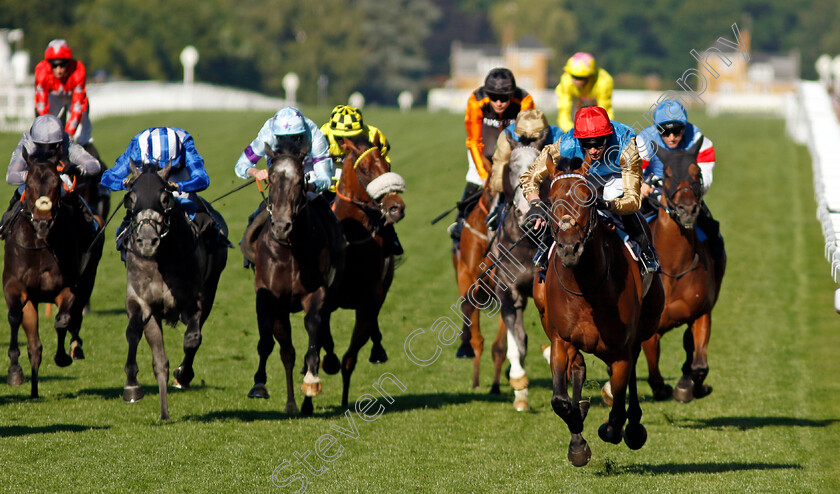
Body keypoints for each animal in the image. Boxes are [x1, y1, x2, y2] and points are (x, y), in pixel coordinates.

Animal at [2, 147, 104, 398]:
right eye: (28, 183)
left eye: (57, 184)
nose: (42, 223)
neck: (40, 245)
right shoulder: (15, 287)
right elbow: (15, 317)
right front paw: (15, 371)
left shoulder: (68, 288)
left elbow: (62, 321)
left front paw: (62, 356)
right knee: (35, 345)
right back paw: (34, 391)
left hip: (89, 277)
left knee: (74, 317)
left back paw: (75, 346)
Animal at [246, 145, 344, 414]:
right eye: (270, 178)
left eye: (300, 180)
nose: (281, 227)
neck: (290, 251)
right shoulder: (273, 300)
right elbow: (281, 349)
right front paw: (270, 391)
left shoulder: (316, 293)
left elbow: (312, 337)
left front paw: (311, 382)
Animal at [326, 134, 406, 406]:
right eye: (364, 170)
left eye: (388, 165)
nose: (396, 207)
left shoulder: (367, 300)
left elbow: (349, 358)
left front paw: (343, 402)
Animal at [536, 156, 668, 466]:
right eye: (551, 200)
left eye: (587, 198)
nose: (569, 249)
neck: (586, 289)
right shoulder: (561, 340)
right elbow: (560, 400)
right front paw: (578, 429)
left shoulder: (621, 348)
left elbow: (618, 406)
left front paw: (615, 428)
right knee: (578, 369)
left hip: (643, 325)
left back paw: (633, 428)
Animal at [640, 138, 724, 402]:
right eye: (667, 174)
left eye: (696, 173)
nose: (688, 209)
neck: (674, 269)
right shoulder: (650, 329)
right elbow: (654, 375)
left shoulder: (701, 313)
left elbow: (698, 365)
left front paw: (691, 386)